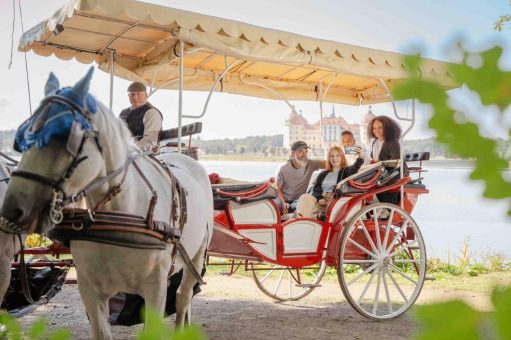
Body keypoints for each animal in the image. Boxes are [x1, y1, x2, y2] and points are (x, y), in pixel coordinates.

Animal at [0, 67, 214, 338]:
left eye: (64, 135)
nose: (11, 210)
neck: (119, 213)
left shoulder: (155, 290)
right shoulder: (90, 290)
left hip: (196, 256)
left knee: (182, 297)